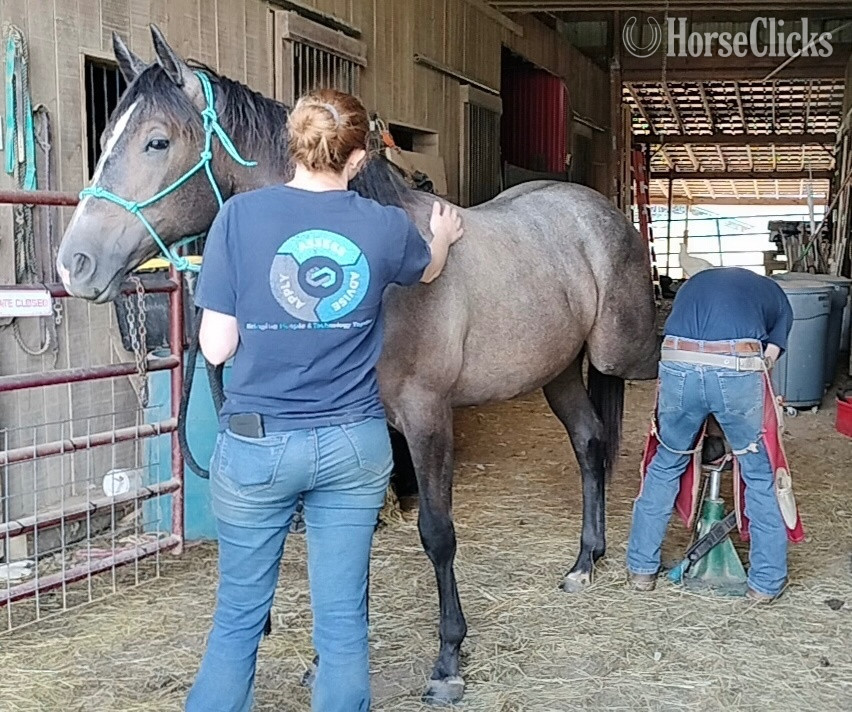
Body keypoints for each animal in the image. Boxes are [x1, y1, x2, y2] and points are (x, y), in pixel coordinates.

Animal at [56, 26, 660, 705]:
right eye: (104, 140)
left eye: (157, 141)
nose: (74, 263)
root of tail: (593, 209)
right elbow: (347, 540)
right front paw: (331, 659)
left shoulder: (426, 417)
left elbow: (437, 533)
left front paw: (448, 661)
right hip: (555, 371)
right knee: (587, 442)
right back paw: (585, 561)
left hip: (616, 359)